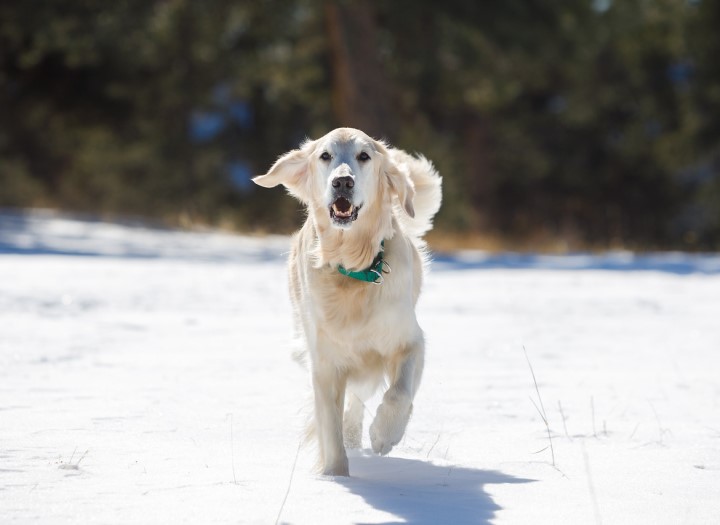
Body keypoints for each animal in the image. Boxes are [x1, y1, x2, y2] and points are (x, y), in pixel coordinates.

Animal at [253, 128, 444, 474]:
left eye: (364, 156)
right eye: (325, 156)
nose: (342, 182)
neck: (352, 268)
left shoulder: (410, 341)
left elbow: (400, 392)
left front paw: (384, 434)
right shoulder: (324, 361)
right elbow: (330, 428)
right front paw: (334, 476)